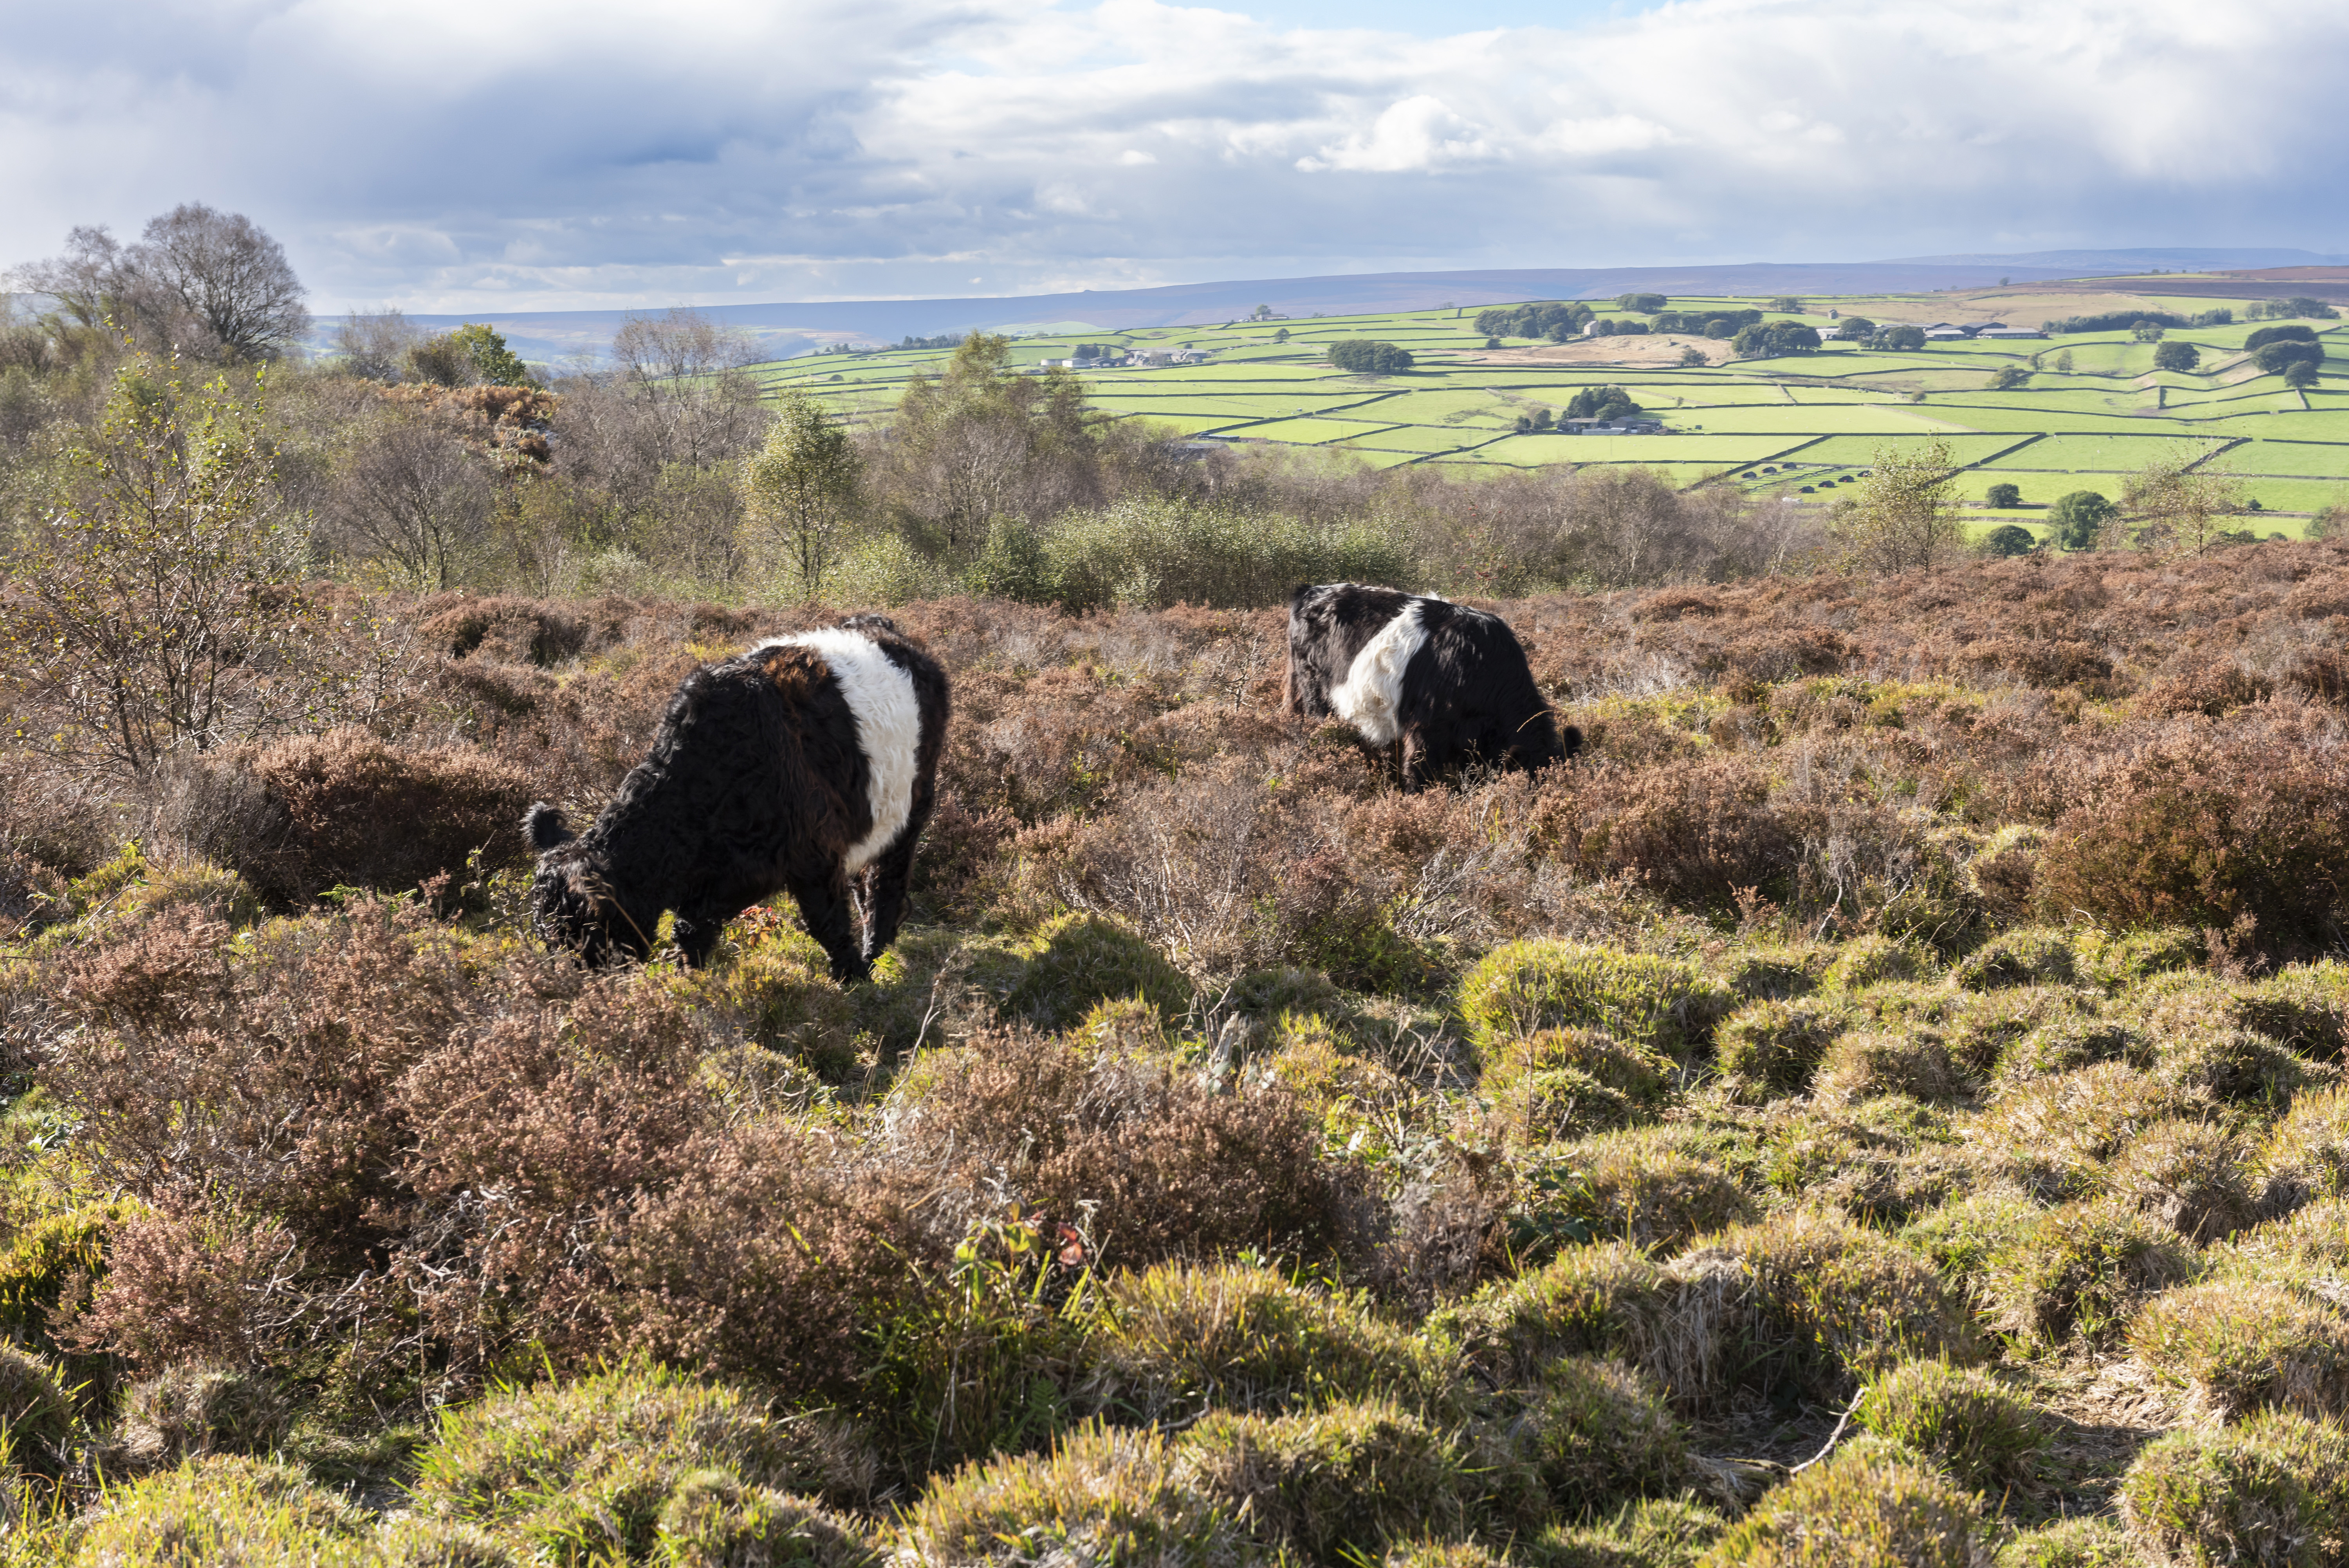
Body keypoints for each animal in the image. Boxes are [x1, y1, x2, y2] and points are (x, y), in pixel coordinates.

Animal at [523, 613, 950, 982]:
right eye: (549, 941)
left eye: (587, 932)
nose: (582, 994)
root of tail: (880, 626)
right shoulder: (722, 881)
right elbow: (690, 934)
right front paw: (689, 984)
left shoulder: (815, 851)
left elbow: (827, 924)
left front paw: (855, 979)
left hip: (912, 800)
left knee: (887, 881)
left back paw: (874, 949)